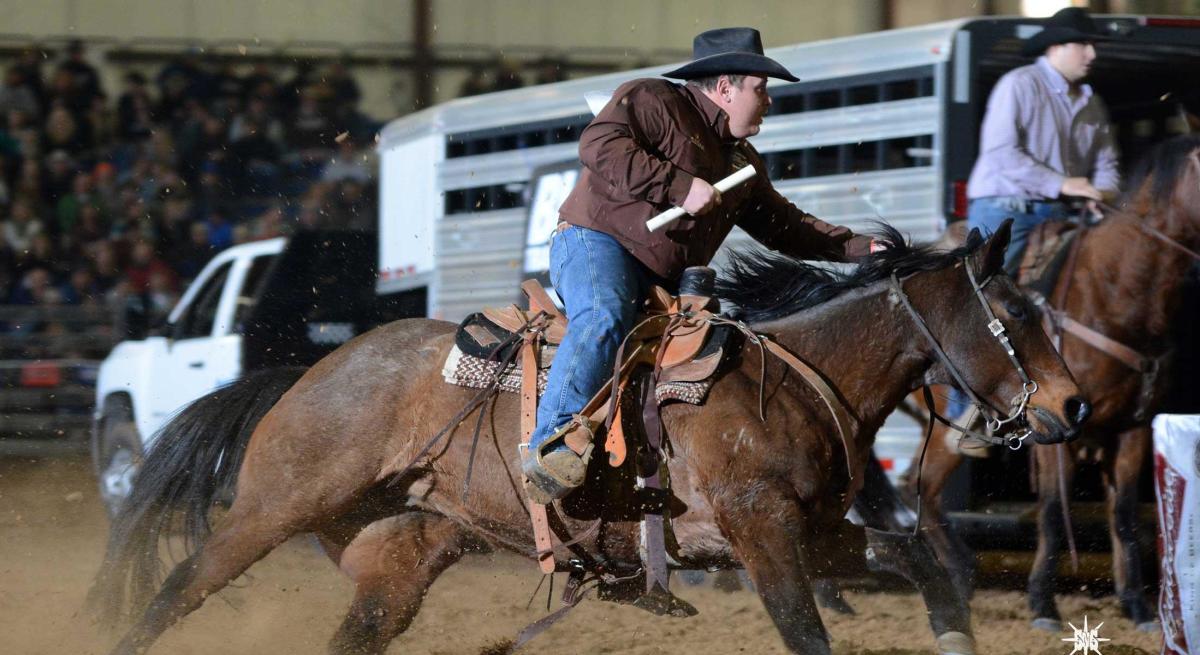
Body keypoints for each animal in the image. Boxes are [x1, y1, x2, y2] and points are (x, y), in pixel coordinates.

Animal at [88, 220, 1094, 652]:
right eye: (1013, 314)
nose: (1074, 405)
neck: (795, 380)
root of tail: (307, 374)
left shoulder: (812, 533)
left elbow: (916, 560)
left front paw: (954, 631)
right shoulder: (763, 533)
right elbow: (806, 631)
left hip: (397, 556)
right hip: (273, 506)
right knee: (177, 586)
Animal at [897, 131, 1200, 628]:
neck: (1116, 294)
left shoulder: (1132, 429)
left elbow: (1123, 514)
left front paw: (1136, 605)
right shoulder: (1054, 428)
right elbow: (1055, 513)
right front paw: (1042, 602)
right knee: (921, 488)